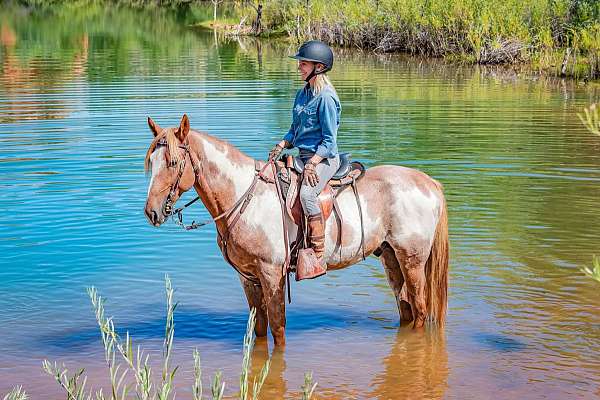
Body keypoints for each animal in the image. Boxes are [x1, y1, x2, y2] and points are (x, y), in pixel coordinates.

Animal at [143, 114, 448, 346]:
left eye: (172, 162)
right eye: (151, 163)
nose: (152, 212)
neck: (244, 196)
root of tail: (429, 182)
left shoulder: (271, 273)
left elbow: (278, 329)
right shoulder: (248, 277)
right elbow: (260, 327)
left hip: (412, 260)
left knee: (420, 311)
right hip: (391, 257)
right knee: (406, 309)